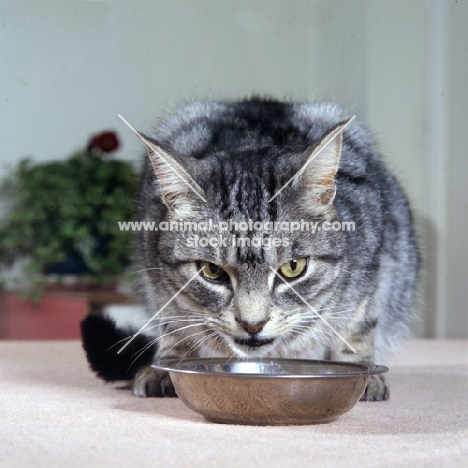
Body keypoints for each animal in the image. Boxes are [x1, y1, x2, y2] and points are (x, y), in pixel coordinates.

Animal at [81, 97, 420, 400]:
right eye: (211, 271)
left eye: (293, 267)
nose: (252, 324)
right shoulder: (157, 282)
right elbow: (175, 326)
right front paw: (167, 367)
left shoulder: (373, 269)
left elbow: (356, 330)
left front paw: (363, 374)